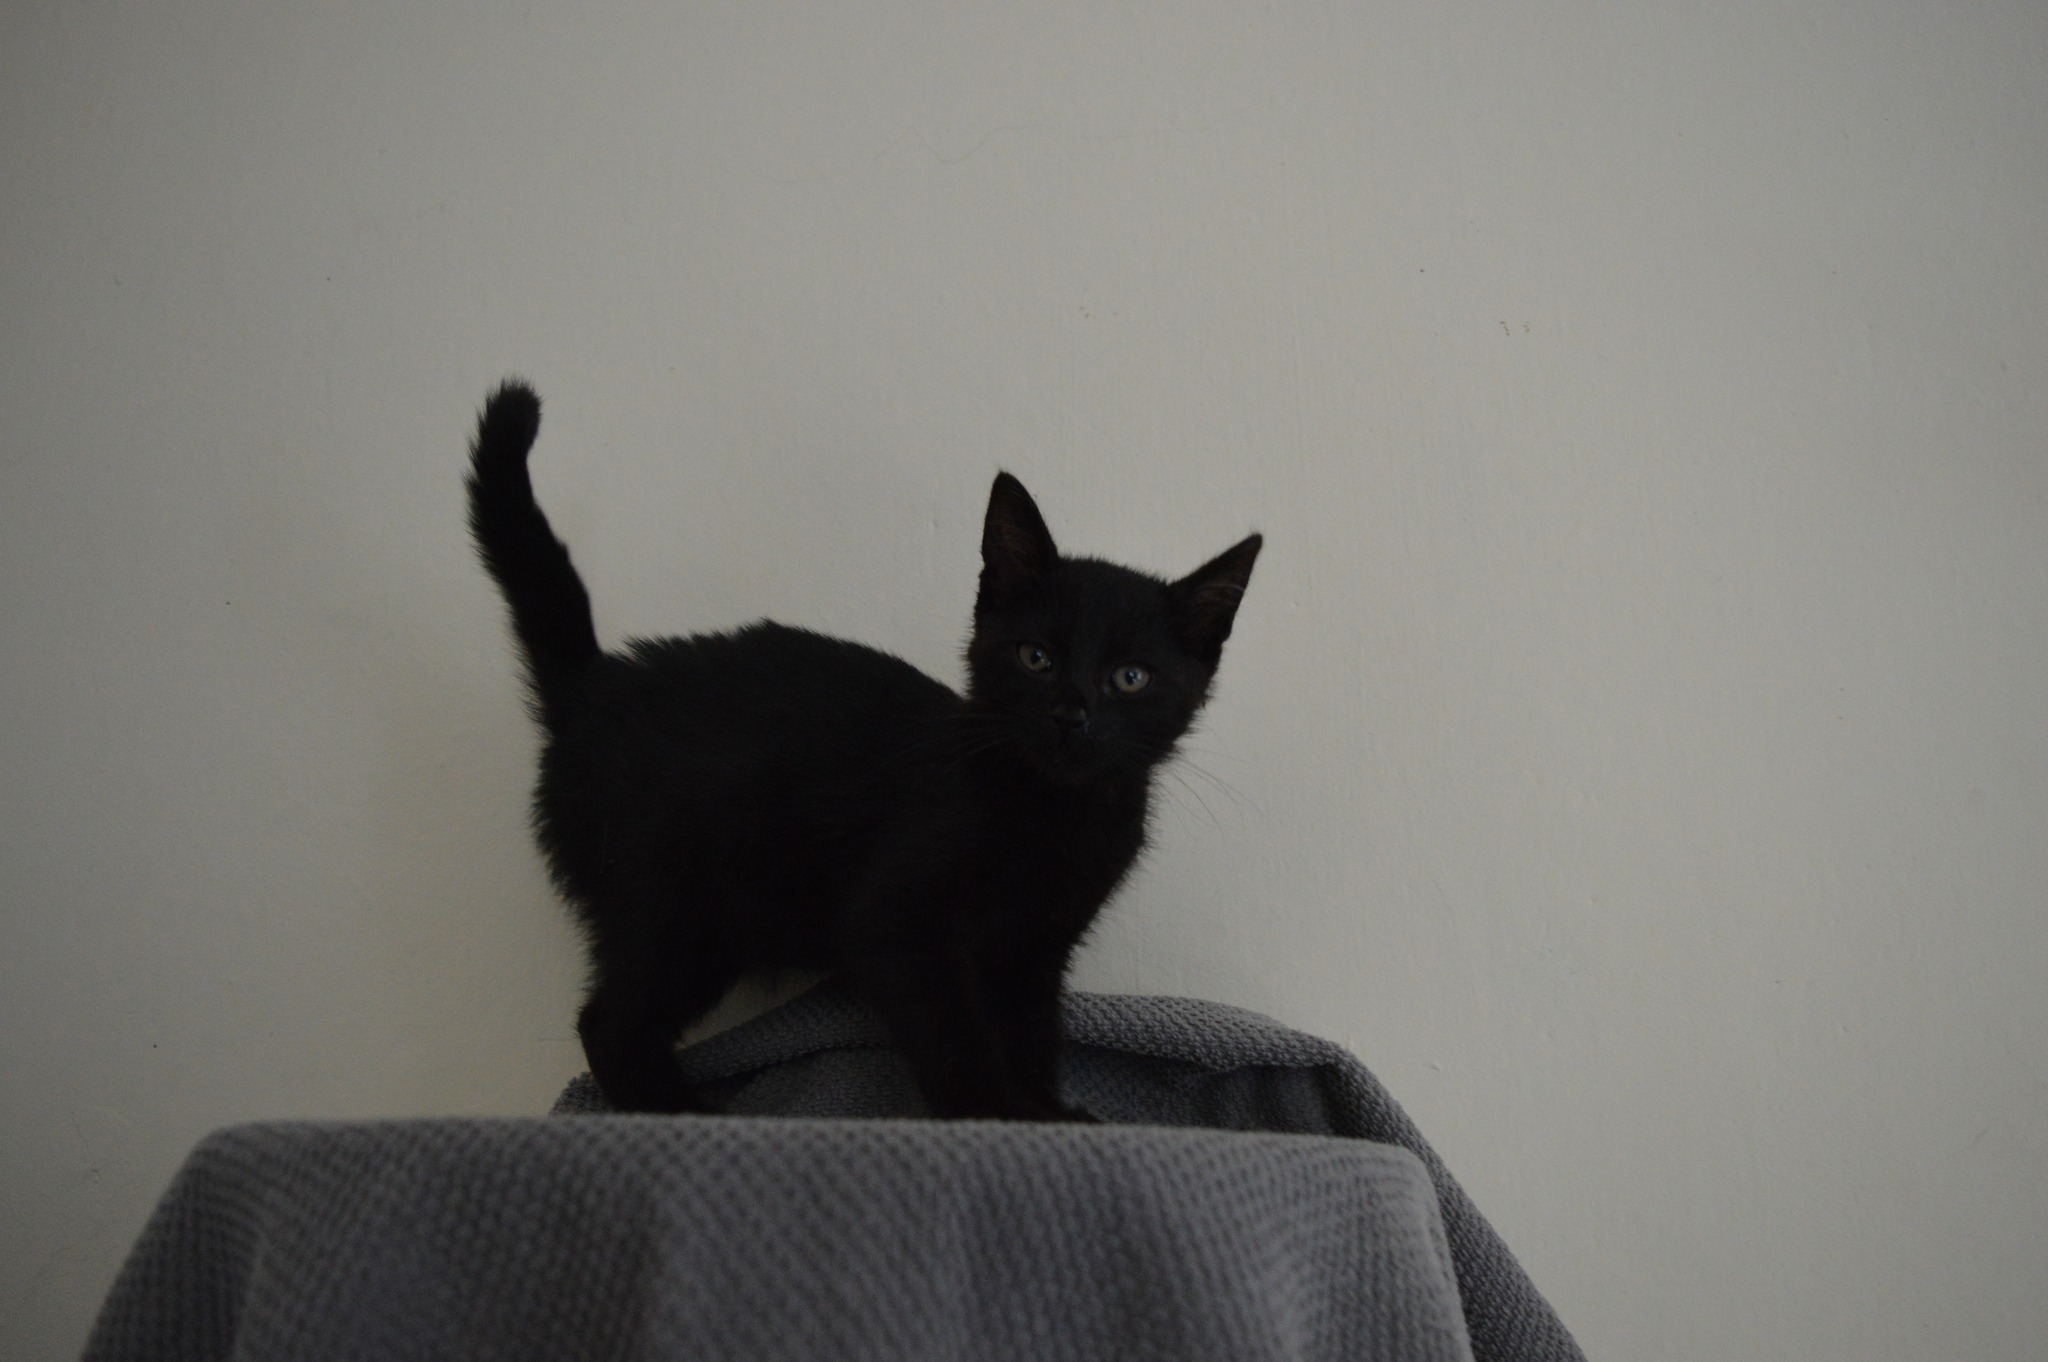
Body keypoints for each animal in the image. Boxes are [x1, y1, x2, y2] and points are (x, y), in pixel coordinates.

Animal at [466, 380, 1260, 1119]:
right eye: (1035, 658)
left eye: (1130, 678)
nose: (1072, 714)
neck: (1049, 809)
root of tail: (590, 688)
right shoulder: (898, 927)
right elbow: (956, 1035)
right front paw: (989, 1113)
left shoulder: (1035, 950)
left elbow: (1031, 1034)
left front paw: (1043, 1115)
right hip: (678, 904)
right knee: (607, 1024)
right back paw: (690, 1114)